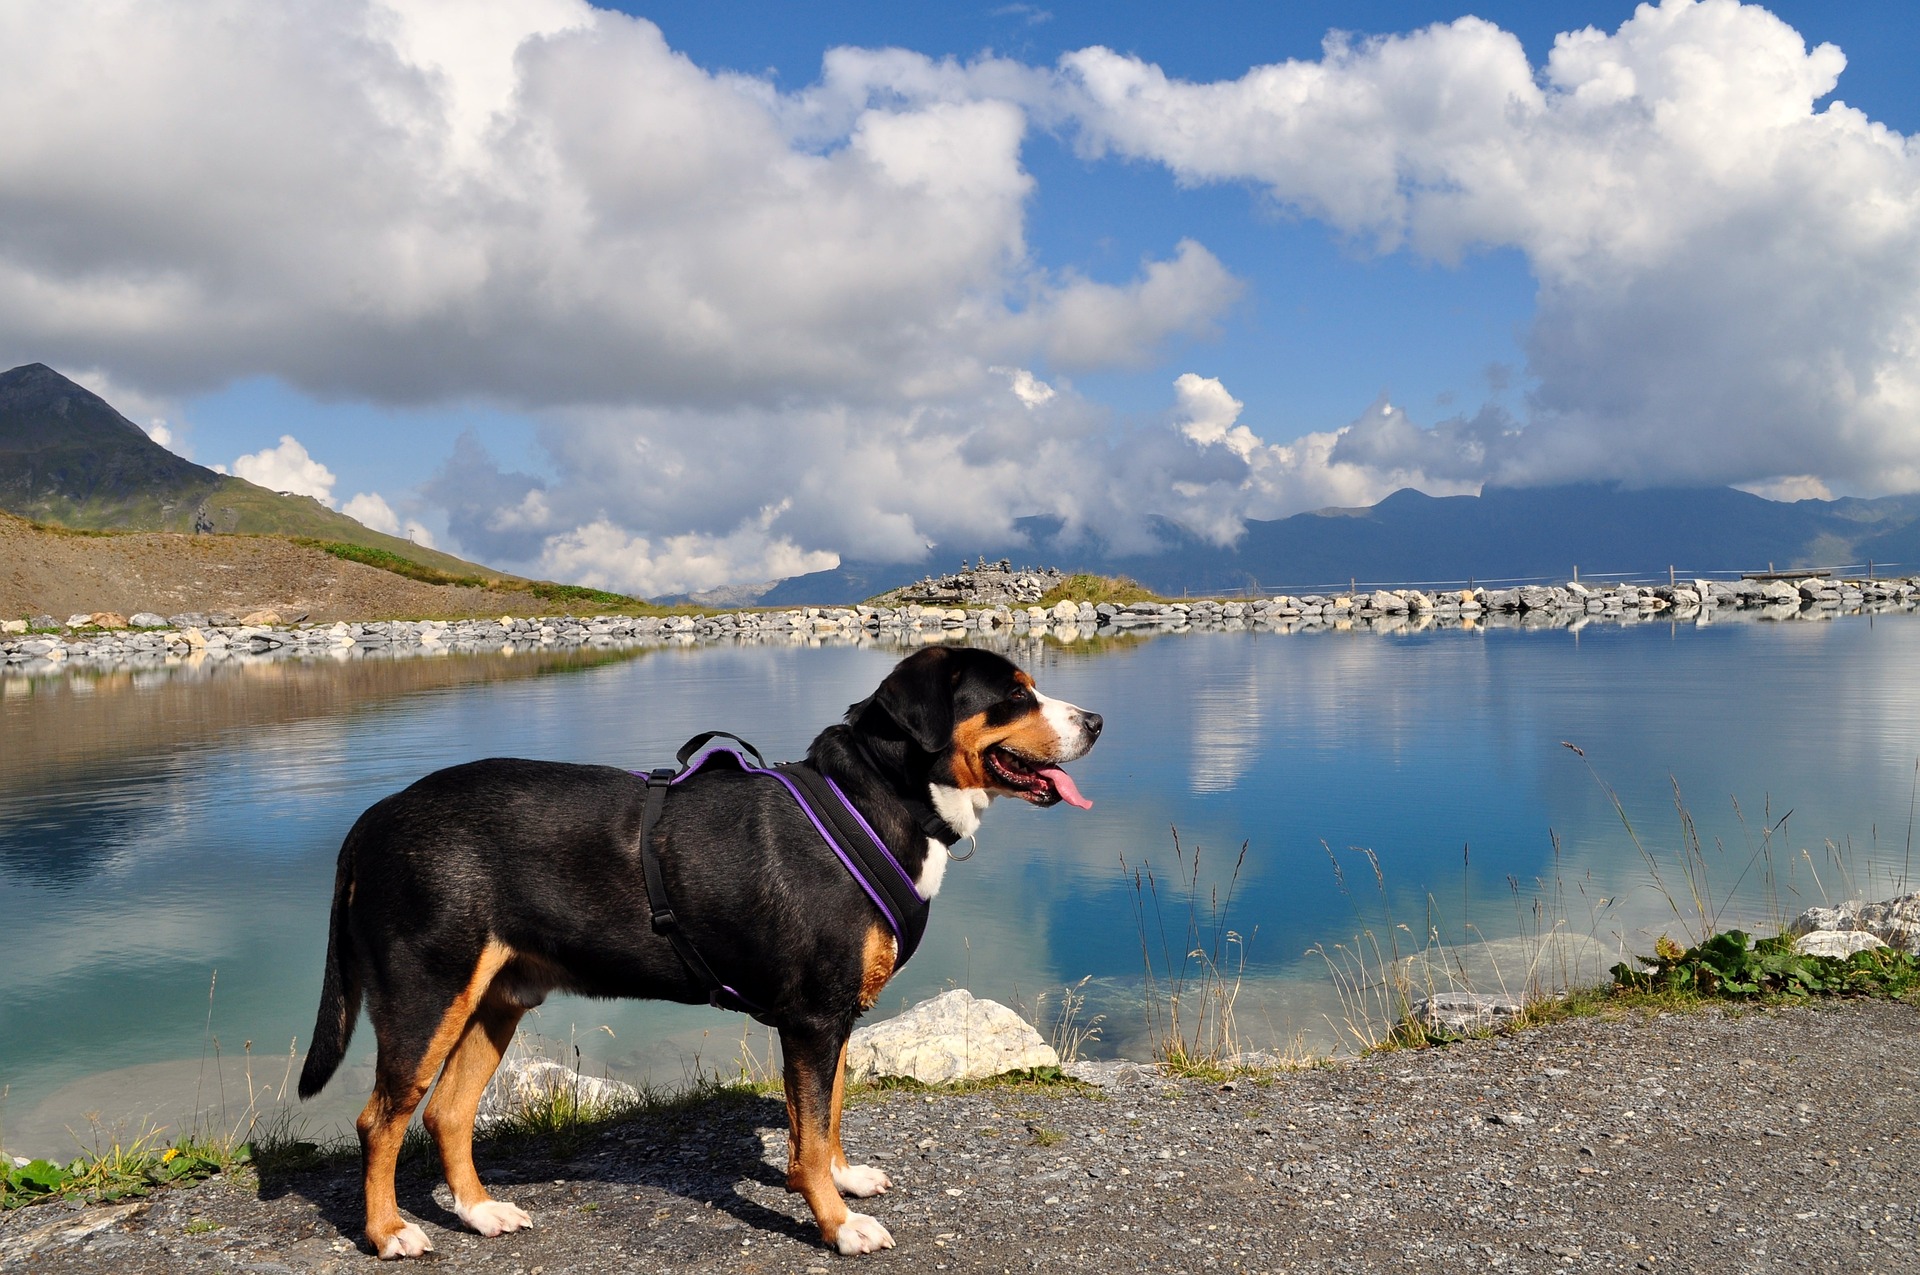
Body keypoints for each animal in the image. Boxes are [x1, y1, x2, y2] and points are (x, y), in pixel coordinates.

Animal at [293, 649, 1105, 1251]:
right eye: (1013, 696)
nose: (1096, 719)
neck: (875, 800)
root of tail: (374, 819)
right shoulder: (813, 1018)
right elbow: (812, 1134)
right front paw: (838, 1225)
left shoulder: (833, 1018)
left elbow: (826, 1118)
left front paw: (841, 1183)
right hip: (425, 999)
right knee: (380, 1121)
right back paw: (388, 1232)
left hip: (495, 1002)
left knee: (447, 1115)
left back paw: (479, 1211)